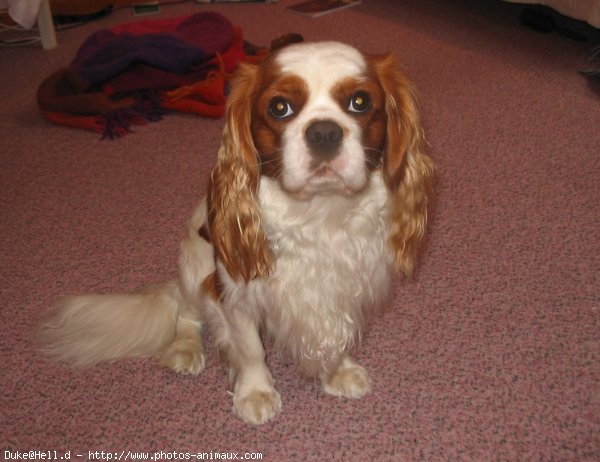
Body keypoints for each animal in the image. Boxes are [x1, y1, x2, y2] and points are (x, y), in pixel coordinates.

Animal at [38, 40, 436, 426]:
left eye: (360, 101)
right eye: (279, 107)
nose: (324, 131)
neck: (319, 212)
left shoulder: (345, 288)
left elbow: (334, 334)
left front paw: (337, 371)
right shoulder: (236, 292)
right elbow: (250, 349)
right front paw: (256, 393)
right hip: (195, 267)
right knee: (186, 312)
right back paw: (186, 348)